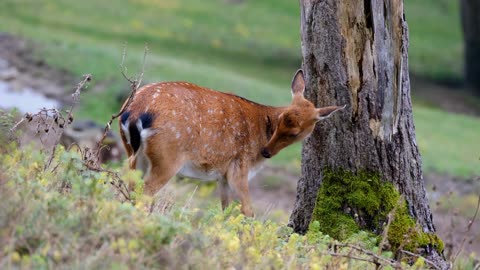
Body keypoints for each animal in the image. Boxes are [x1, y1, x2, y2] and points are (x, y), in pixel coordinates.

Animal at [120, 70, 344, 217]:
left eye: (294, 132)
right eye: (279, 121)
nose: (266, 151)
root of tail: (134, 113)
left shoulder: (223, 176)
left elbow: (226, 211)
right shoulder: (239, 167)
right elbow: (248, 211)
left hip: (133, 155)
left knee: (130, 189)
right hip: (168, 157)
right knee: (145, 193)